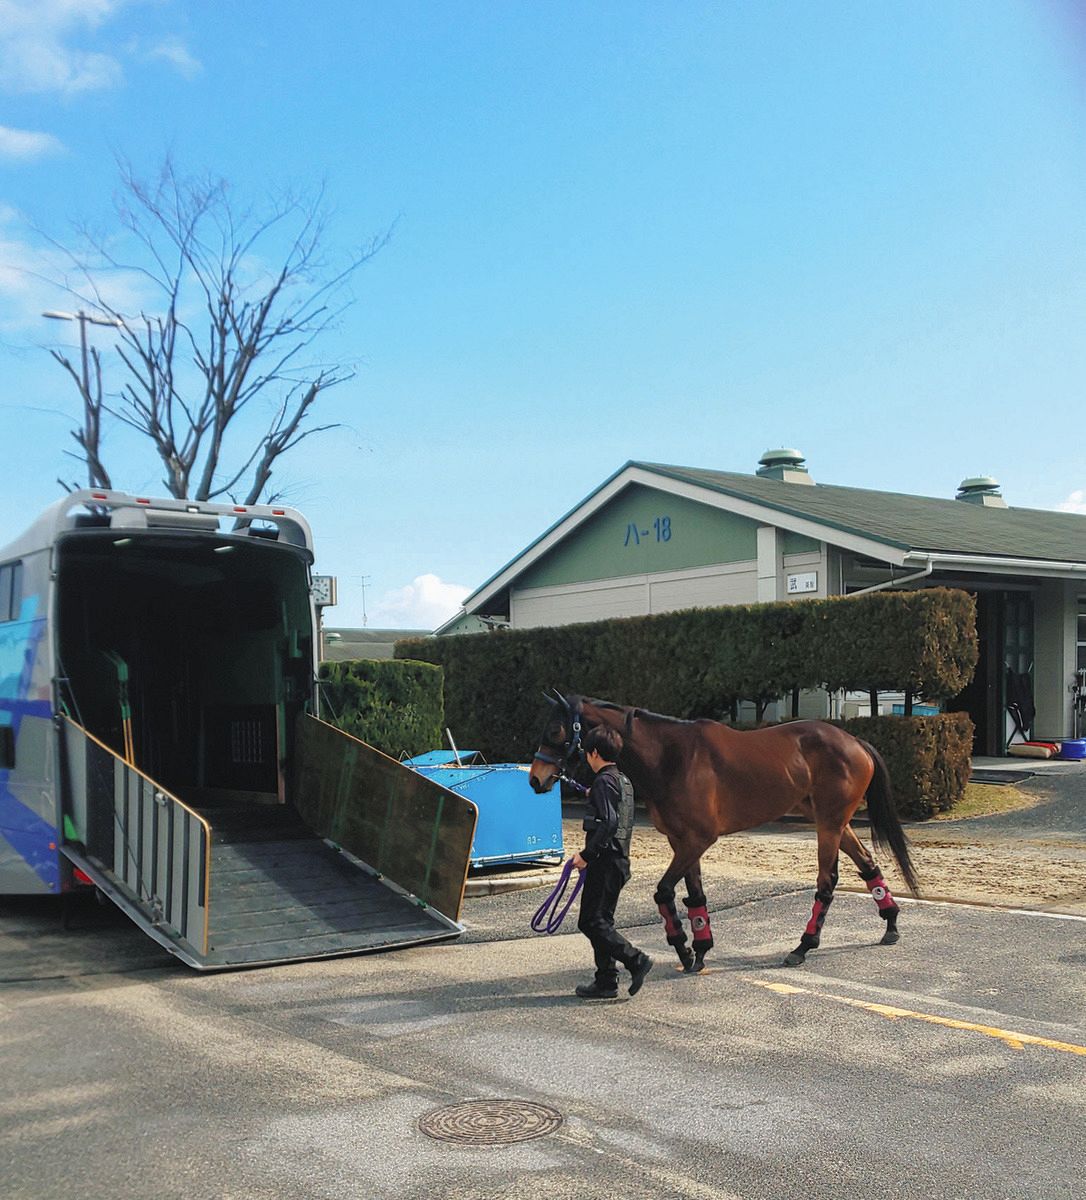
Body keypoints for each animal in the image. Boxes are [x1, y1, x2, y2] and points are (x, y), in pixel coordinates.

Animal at [530, 696, 921, 964]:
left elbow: (663, 891)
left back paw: (803, 946)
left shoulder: (699, 839)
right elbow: (695, 895)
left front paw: (683, 948)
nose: (536, 778)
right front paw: (700, 948)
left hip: (829, 824)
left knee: (827, 882)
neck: (673, 757)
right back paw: (890, 924)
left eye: (555, 731)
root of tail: (856, 742)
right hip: (833, 822)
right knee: (867, 862)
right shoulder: (682, 841)